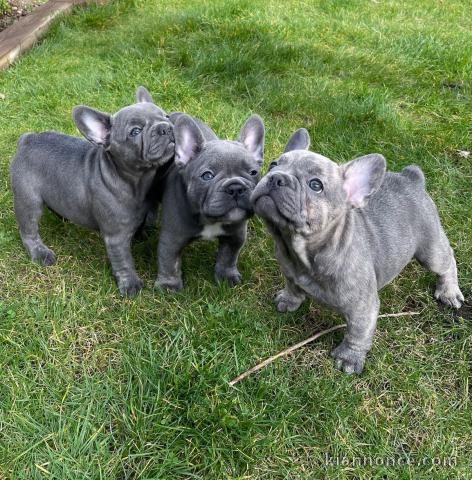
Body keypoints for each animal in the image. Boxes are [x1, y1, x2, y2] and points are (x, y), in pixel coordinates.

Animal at [10, 86, 173, 296]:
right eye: (135, 131)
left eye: (167, 116)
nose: (166, 127)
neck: (135, 180)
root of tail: (27, 139)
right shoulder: (116, 238)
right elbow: (124, 261)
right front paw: (129, 284)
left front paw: (141, 234)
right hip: (28, 201)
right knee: (28, 230)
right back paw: (40, 253)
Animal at [156, 113, 264, 292]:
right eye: (207, 176)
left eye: (253, 172)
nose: (236, 187)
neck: (210, 220)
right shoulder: (172, 239)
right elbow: (169, 263)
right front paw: (168, 286)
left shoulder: (235, 236)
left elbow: (228, 257)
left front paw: (226, 276)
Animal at [251, 128, 464, 376]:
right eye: (273, 164)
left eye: (315, 185)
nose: (276, 177)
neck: (303, 252)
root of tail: (411, 178)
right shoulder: (289, 271)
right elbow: (293, 286)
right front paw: (289, 299)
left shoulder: (362, 307)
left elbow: (358, 333)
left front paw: (349, 358)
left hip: (430, 250)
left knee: (446, 261)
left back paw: (449, 291)